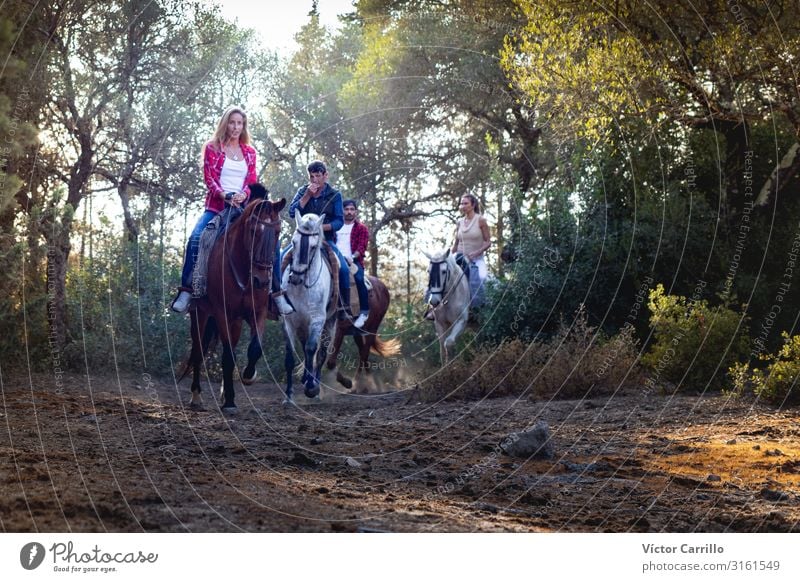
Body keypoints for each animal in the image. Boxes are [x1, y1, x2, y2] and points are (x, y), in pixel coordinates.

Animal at [183, 194, 286, 412]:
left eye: (277, 232)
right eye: (254, 231)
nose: (261, 281)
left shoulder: (258, 312)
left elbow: (254, 348)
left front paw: (248, 376)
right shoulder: (222, 312)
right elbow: (228, 356)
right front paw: (230, 401)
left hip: (235, 322)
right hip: (200, 314)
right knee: (198, 350)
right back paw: (196, 396)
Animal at [282, 214, 336, 406]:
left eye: (313, 246)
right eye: (293, 241)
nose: (295, 277)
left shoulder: (318, 319)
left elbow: (312, 349)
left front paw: (312, 389)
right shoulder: (289, 321)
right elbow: (290, 357)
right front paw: (288, 396)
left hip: (330, 322)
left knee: (320, 353)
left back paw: (315, 386)